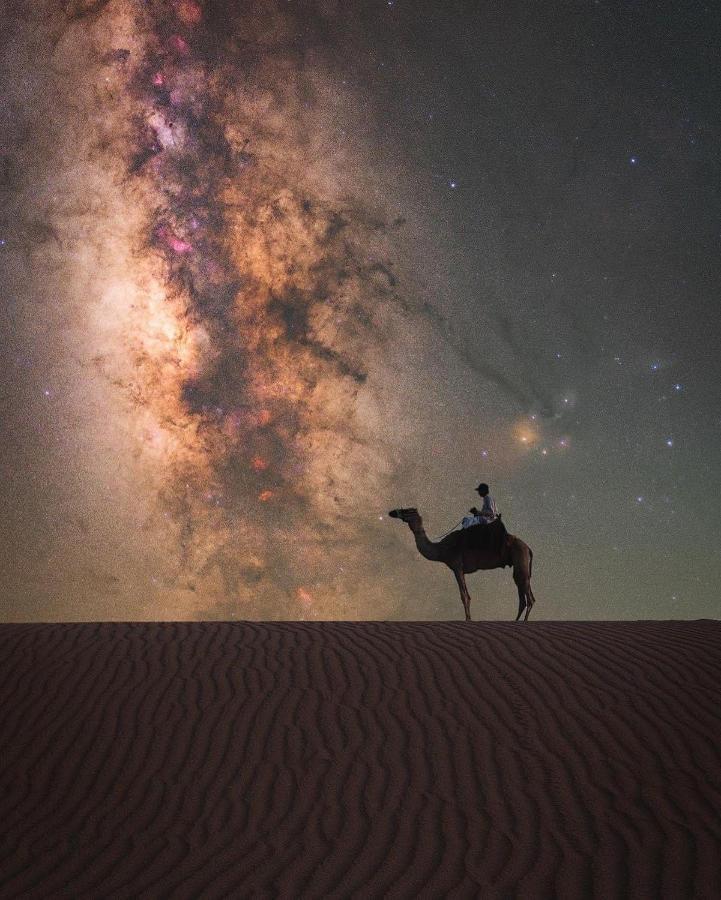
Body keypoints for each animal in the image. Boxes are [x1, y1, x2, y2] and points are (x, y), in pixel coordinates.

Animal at [388, 510, 536, 624]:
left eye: (407, 511)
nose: (392, 512)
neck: (441, 550)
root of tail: (528, 548)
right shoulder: (461, 570)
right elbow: (468, 596)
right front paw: (469, 619)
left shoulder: (457, 567)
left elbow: (463, 596)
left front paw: (467, 620)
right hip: (520, 564)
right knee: (523, 593)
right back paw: (516, 621)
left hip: (520, 559)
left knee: (528, 596)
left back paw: (523, 622)